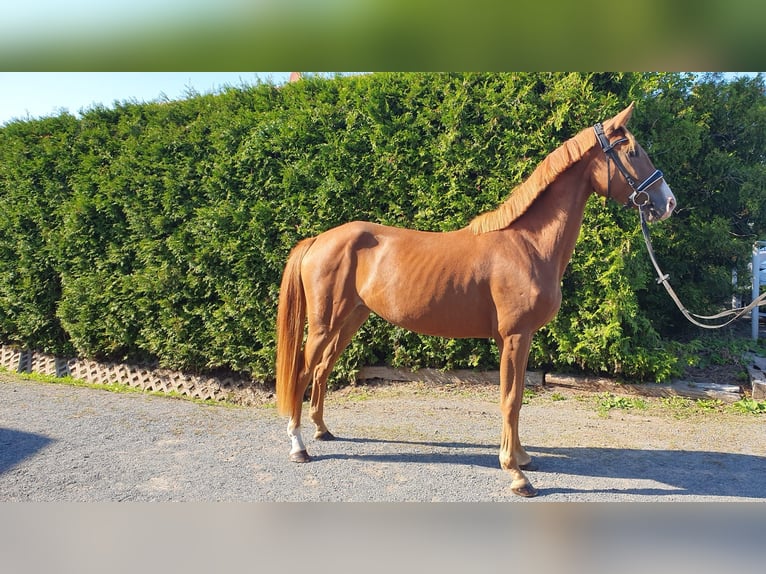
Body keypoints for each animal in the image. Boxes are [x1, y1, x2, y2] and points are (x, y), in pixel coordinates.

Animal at [276, 104, 680, 500]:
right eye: (633, 151)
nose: (668, 203)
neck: (527, 244)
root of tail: (317, 239)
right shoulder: (516, 336)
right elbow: (511, 400)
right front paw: (516, 475)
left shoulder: (516, 339)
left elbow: (516, 398)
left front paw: (522, 457)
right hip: (325, 323)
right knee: (303, 372)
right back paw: (298, 446)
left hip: (350, 319)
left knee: (323, 369)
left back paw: (322, 430)